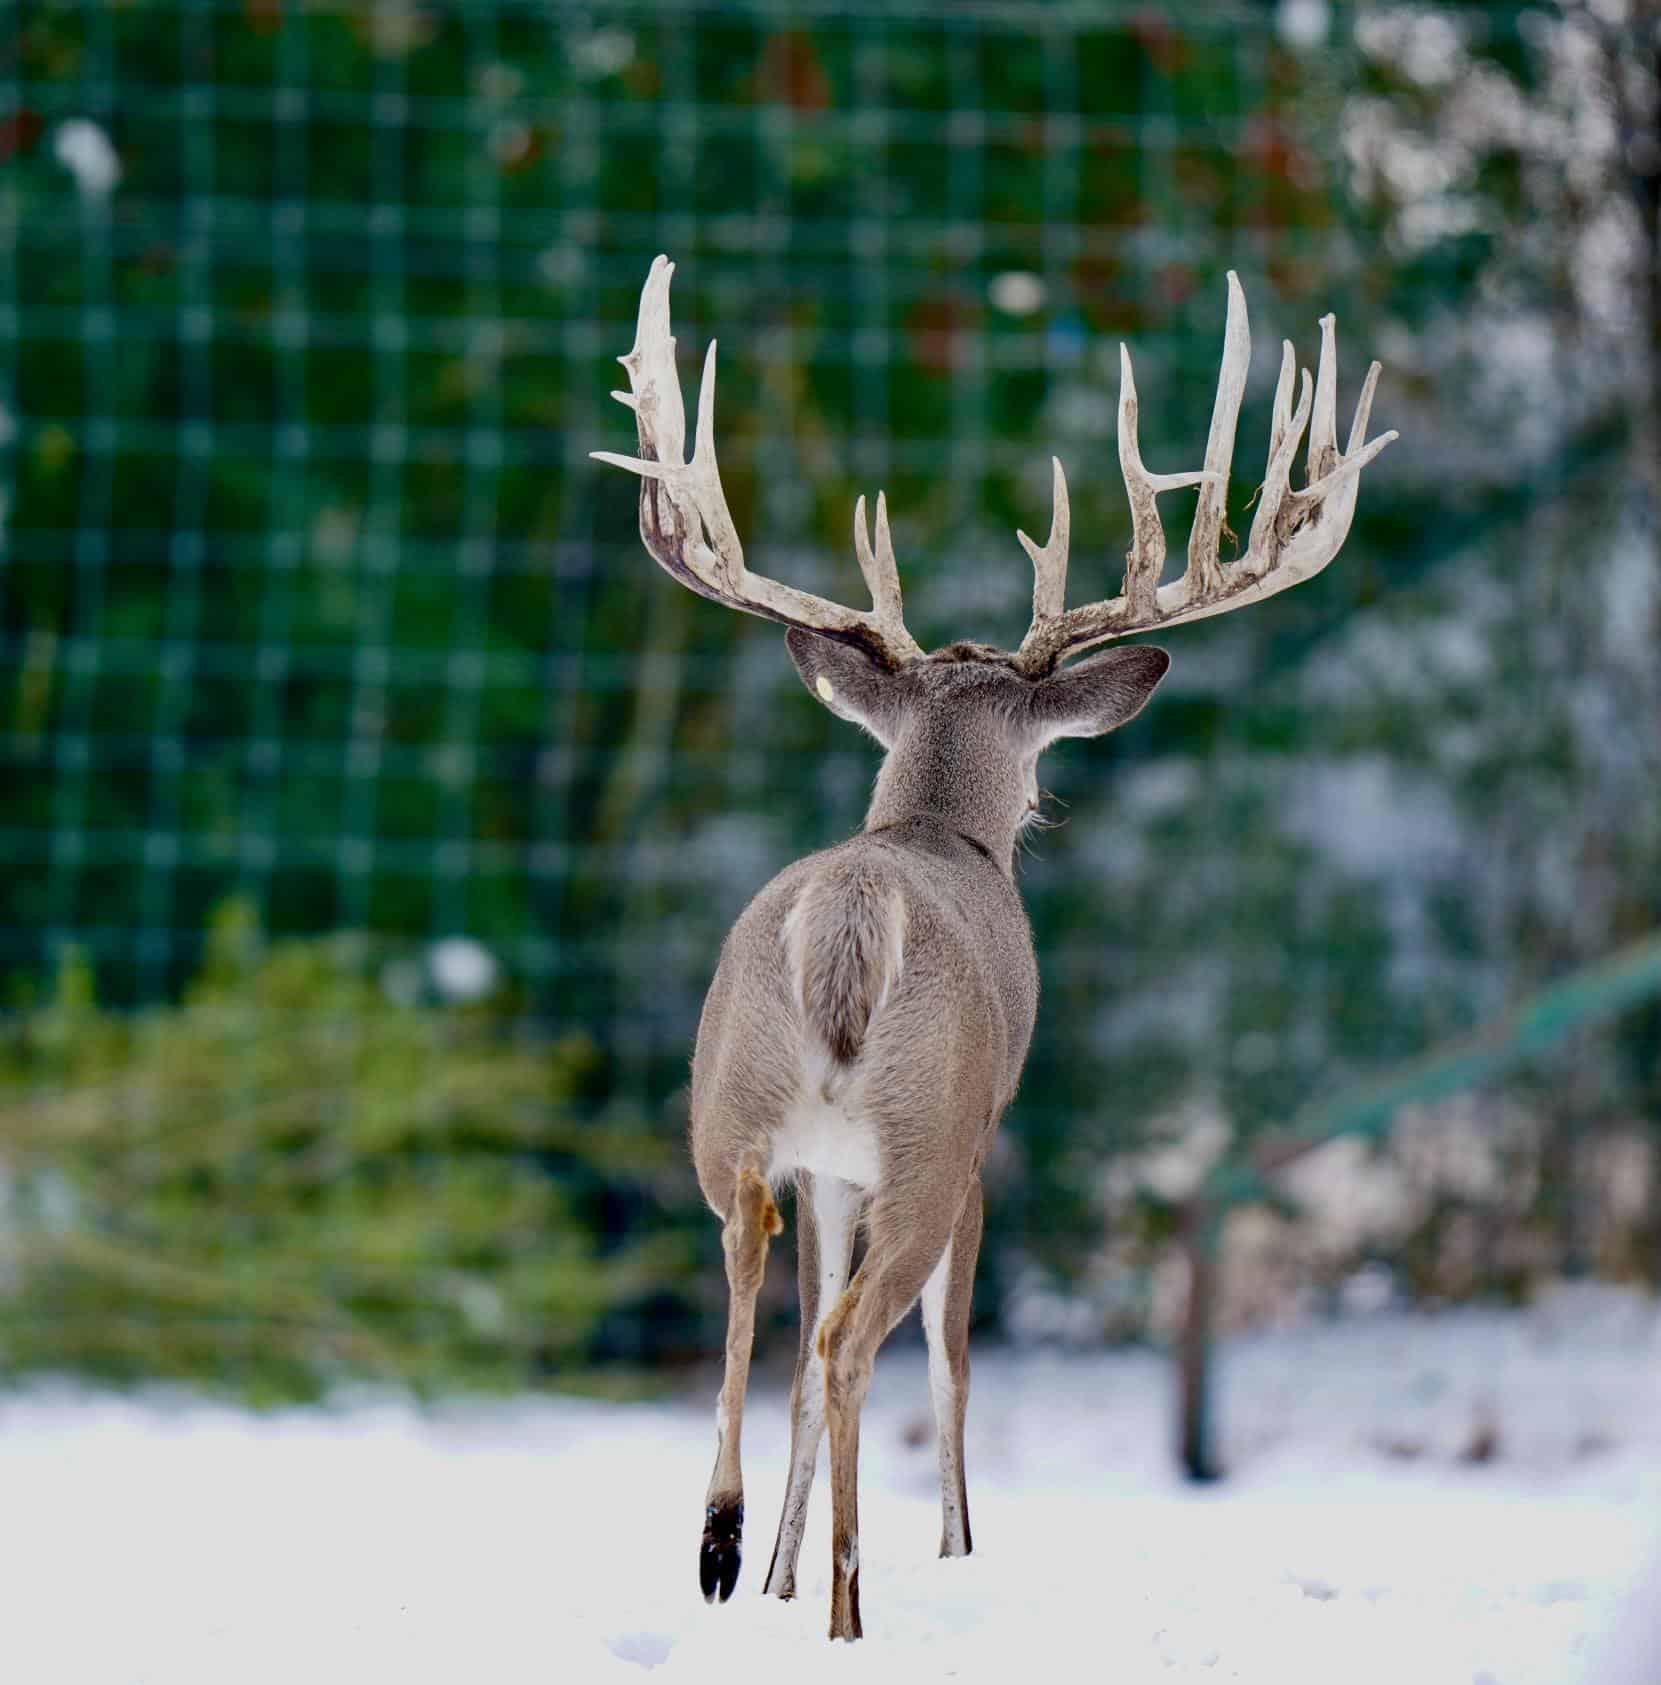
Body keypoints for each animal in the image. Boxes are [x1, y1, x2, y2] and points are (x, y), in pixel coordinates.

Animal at [593, 256, 1395, 1641]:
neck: (925, 829)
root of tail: (853, 906)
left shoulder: (827, 1169)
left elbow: (796, 1352)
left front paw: (774, 1571)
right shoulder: (982, 1136)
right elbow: (953, 1358)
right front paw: (952, 1550)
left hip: (731, 1114)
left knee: (759, 1293)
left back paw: (722, 1546)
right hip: (930, 1128)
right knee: (862, 1337)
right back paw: (850, 1602)